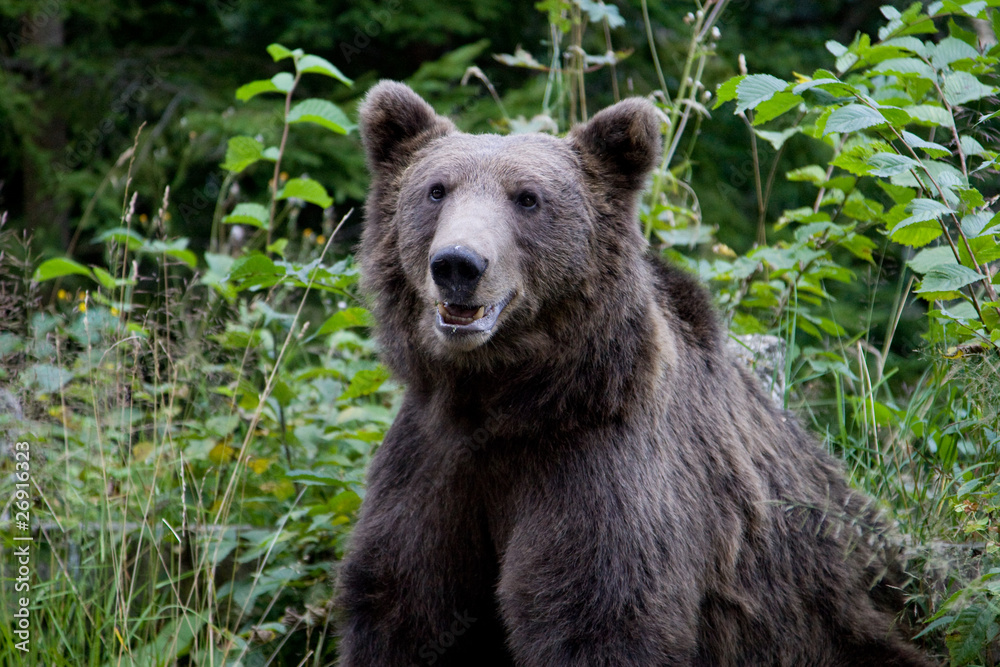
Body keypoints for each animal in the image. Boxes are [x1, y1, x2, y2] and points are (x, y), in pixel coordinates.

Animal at [334, 80, 935, 667]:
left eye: (528, 198)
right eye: (436, 190)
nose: (458, 263)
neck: (503, 397)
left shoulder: (602, 468)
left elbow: (600, 614)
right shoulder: (433, 464)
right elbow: (402, 607)